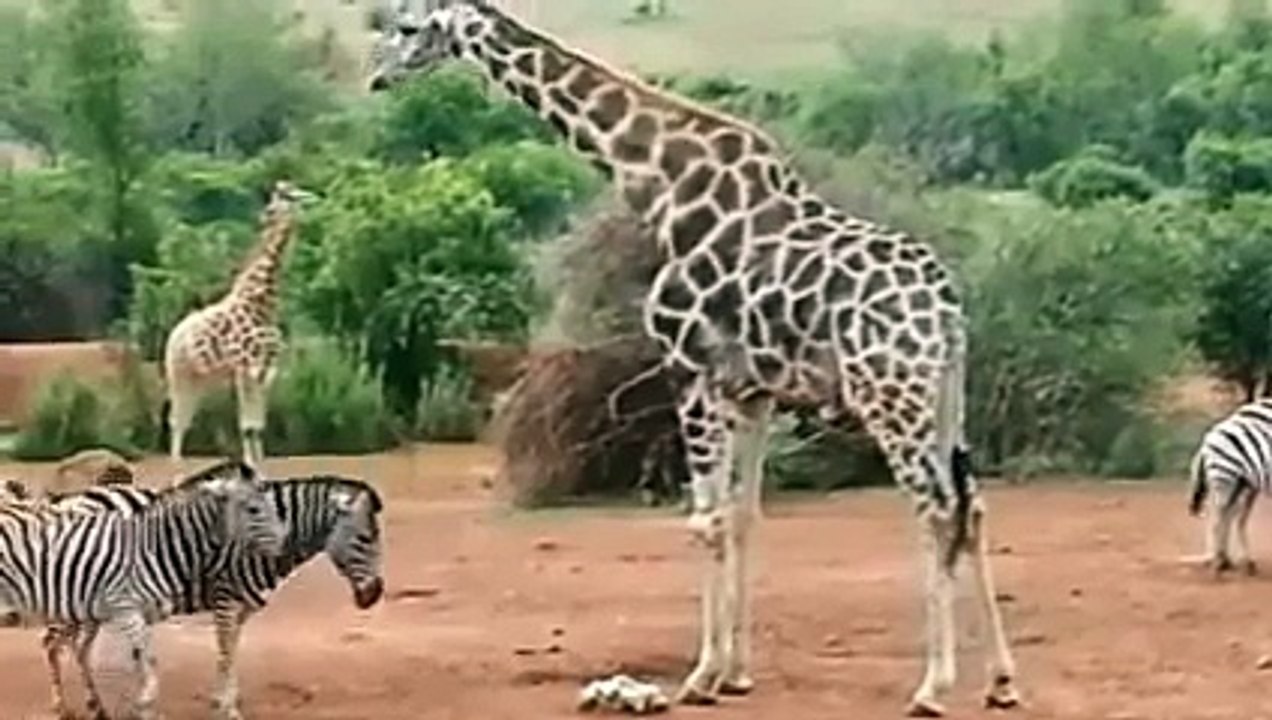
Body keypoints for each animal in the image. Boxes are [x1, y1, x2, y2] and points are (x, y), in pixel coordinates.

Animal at [39, 473, 385, 720]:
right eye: (365, 539)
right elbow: (225, 650)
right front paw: (228, 707)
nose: (375, 595)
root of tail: (69, 499)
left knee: (79, 648)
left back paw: (96, 706)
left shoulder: (244, 605)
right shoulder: (225, 598)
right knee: (53, 644)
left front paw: (224, 699)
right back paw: (60, 707)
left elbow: (231, 650)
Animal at [162, 180, 316, 470]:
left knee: (185, 419)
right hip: (180, 373)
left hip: (202, 378)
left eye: (291, 197)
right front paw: (252, 471)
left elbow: (257, 426)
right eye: (275, 202)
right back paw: (176, 472)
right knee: (177, 421)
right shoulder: (246, 368)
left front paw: (261, 470)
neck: (263, 305)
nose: (264, 217)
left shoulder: (267, 370)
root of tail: (175, 334)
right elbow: (247, 427)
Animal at [368, 3, 1020, 715]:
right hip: (944, 394)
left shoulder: (689, 367)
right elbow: (742, 517)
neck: (664, 189)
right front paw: (735, 672)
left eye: (408, 27)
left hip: (890, 395)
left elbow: (704, 520)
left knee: (937, 506)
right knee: (971, 505)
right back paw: (1001, 679)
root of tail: (946, 308)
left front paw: (701, 676)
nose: (377, 77)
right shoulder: (752, 391)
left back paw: (933, 685)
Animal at [1187, 398, 1272, 576]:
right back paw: (1218, 565)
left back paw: (1230, 562)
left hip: (1240, 483)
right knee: (1219, 519)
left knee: (1231, 517)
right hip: (1225, 475)